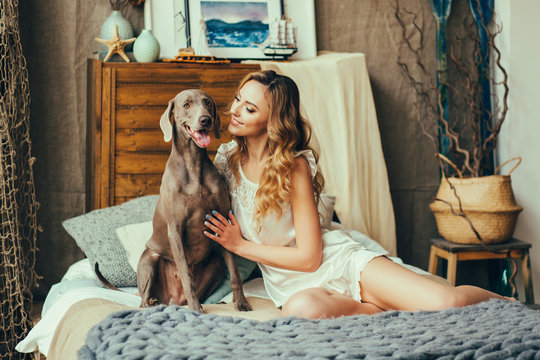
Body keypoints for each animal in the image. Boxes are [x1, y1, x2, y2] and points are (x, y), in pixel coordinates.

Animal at [136, 89, 252, 312]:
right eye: (186, 105)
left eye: (208, 103)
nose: (205, 120)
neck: (193, 163)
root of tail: (172, 299)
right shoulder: (175, 230)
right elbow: (186, 275)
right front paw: (196, 308)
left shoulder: (222, 221)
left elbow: (234, 271)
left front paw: (241, 302)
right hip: (149, 258)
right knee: (142, 300)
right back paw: (153, 303)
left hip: (216, 264)